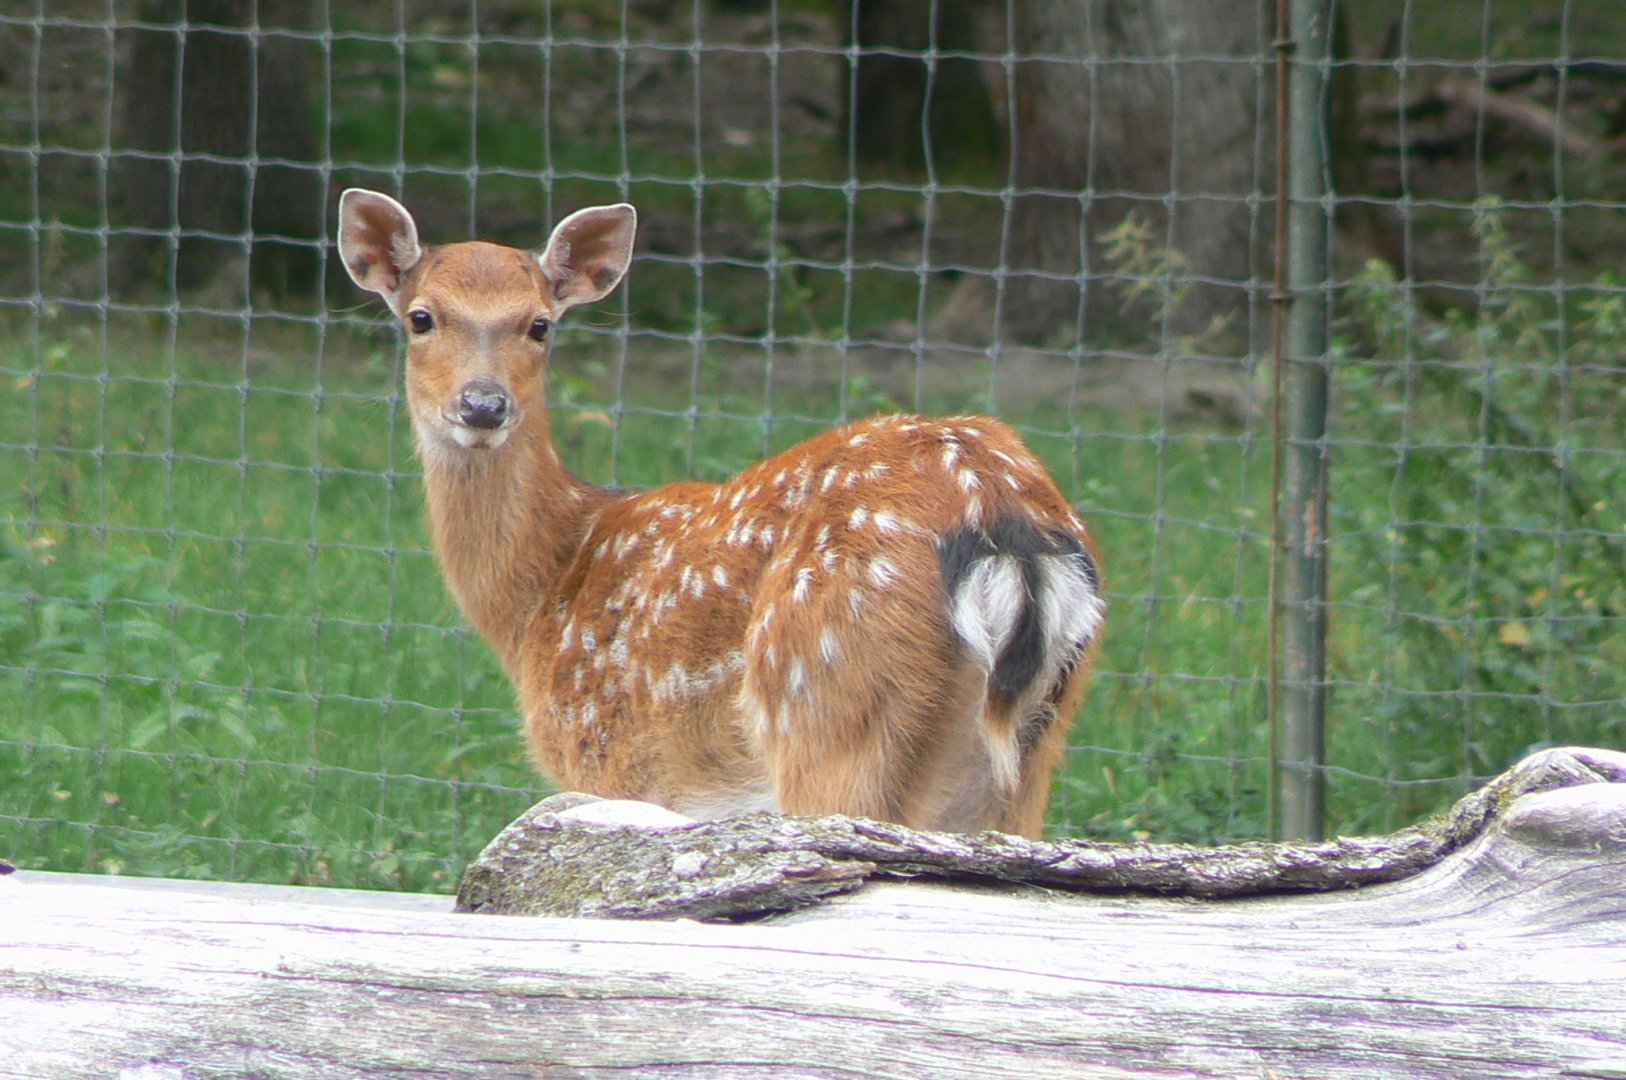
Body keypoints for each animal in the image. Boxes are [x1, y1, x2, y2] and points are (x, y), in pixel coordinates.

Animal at [336, 188, 1104, 838]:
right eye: (422, 317)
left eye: (539, 325)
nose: (483, 405)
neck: (544, 595)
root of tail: (1003, 519)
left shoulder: (616, 764)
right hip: (1034, 747)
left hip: (827, 699)